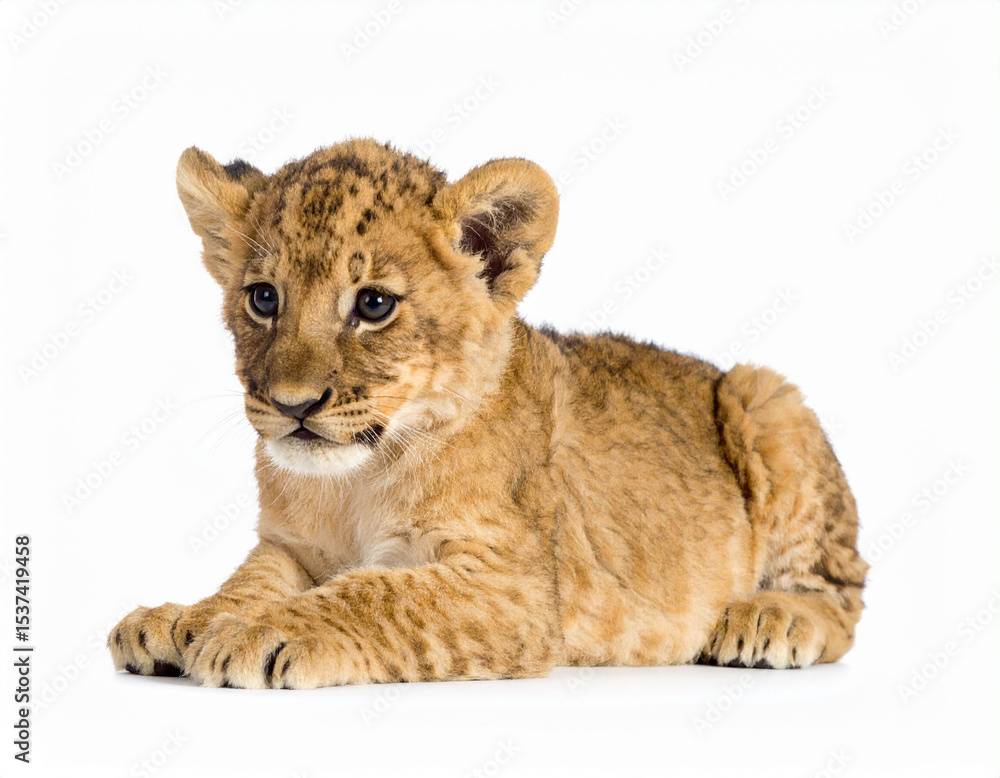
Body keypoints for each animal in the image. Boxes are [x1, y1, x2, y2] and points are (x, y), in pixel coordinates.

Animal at [108, 138, 867, 689]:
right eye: (264, 298)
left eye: (373, 305)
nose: (292, 406)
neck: (355, 482)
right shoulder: (290, 545)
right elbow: (249, 579)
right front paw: (182, 619)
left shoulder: (517, 588)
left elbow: (376, 593)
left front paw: (256, 631)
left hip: (766, 395)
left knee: (843, 600)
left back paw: (766, 620)